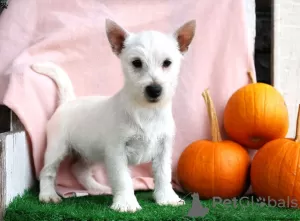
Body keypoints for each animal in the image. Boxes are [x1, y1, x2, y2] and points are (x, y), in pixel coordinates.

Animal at [29, 18, 195, 212]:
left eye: (167, 63)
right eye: (137, 63)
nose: (154, 89)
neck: (146, 110)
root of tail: (67, 102)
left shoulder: (163, 149)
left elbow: (163, 175)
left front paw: (167, 198)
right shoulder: (117, 152)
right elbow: (122, 178)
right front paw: (126, 202)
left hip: (92, 152)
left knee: (79, 169)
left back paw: (97, 188)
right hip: (57, 148)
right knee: (47, 171)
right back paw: (48, 195)